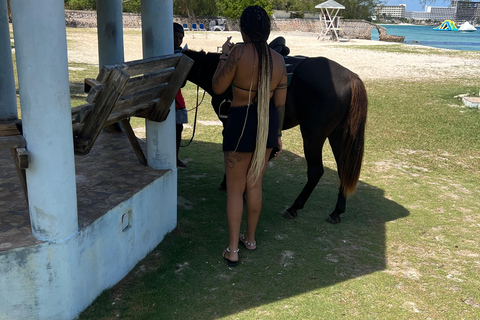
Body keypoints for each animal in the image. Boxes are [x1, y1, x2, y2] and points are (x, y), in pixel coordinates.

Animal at [183, 46, 368, 224]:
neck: (217, 69)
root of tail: (351, 78)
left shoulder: (230, 125)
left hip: (313, 136)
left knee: (315, 171)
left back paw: (294, 207)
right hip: (337, 135)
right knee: (343, 169)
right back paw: (336, 211)